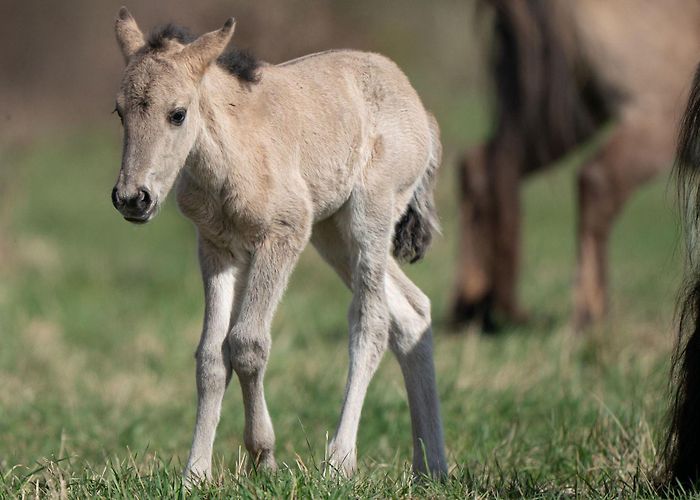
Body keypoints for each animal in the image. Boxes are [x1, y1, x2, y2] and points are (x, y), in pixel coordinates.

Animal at [110, 8, 447, 480]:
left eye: (177, 114)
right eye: (119, 112)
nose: (132, 199)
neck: (232, 150)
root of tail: (421, 111)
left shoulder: (283, 235)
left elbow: (248, 343)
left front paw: (263, 457)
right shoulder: (216, 248)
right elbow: (211, 357)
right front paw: (196, 473)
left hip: (371, 216)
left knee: (372, 321)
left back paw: (341, 460)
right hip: (332, 233)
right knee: (412, 313)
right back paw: (431, 467)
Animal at [451, 0, 700, 332]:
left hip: (563, 106)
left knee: (481, 167)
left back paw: (471, 302)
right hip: (654, 116)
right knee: (597, 182)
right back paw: (589, 314)